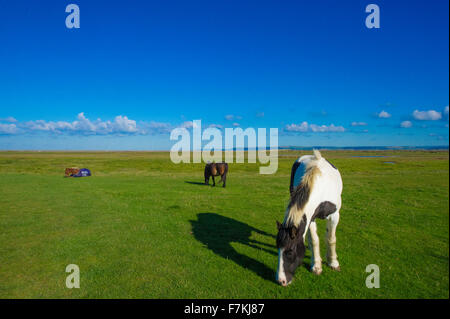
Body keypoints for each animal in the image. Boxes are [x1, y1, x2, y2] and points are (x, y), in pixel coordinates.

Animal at [274, 151, 344, 288]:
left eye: (290, 252)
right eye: (278, 248)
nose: (281, 281)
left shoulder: (334, 215)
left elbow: (331, 239)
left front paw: (333, 262)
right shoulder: (311, 218)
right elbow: (314, 240)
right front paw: (316, 266)